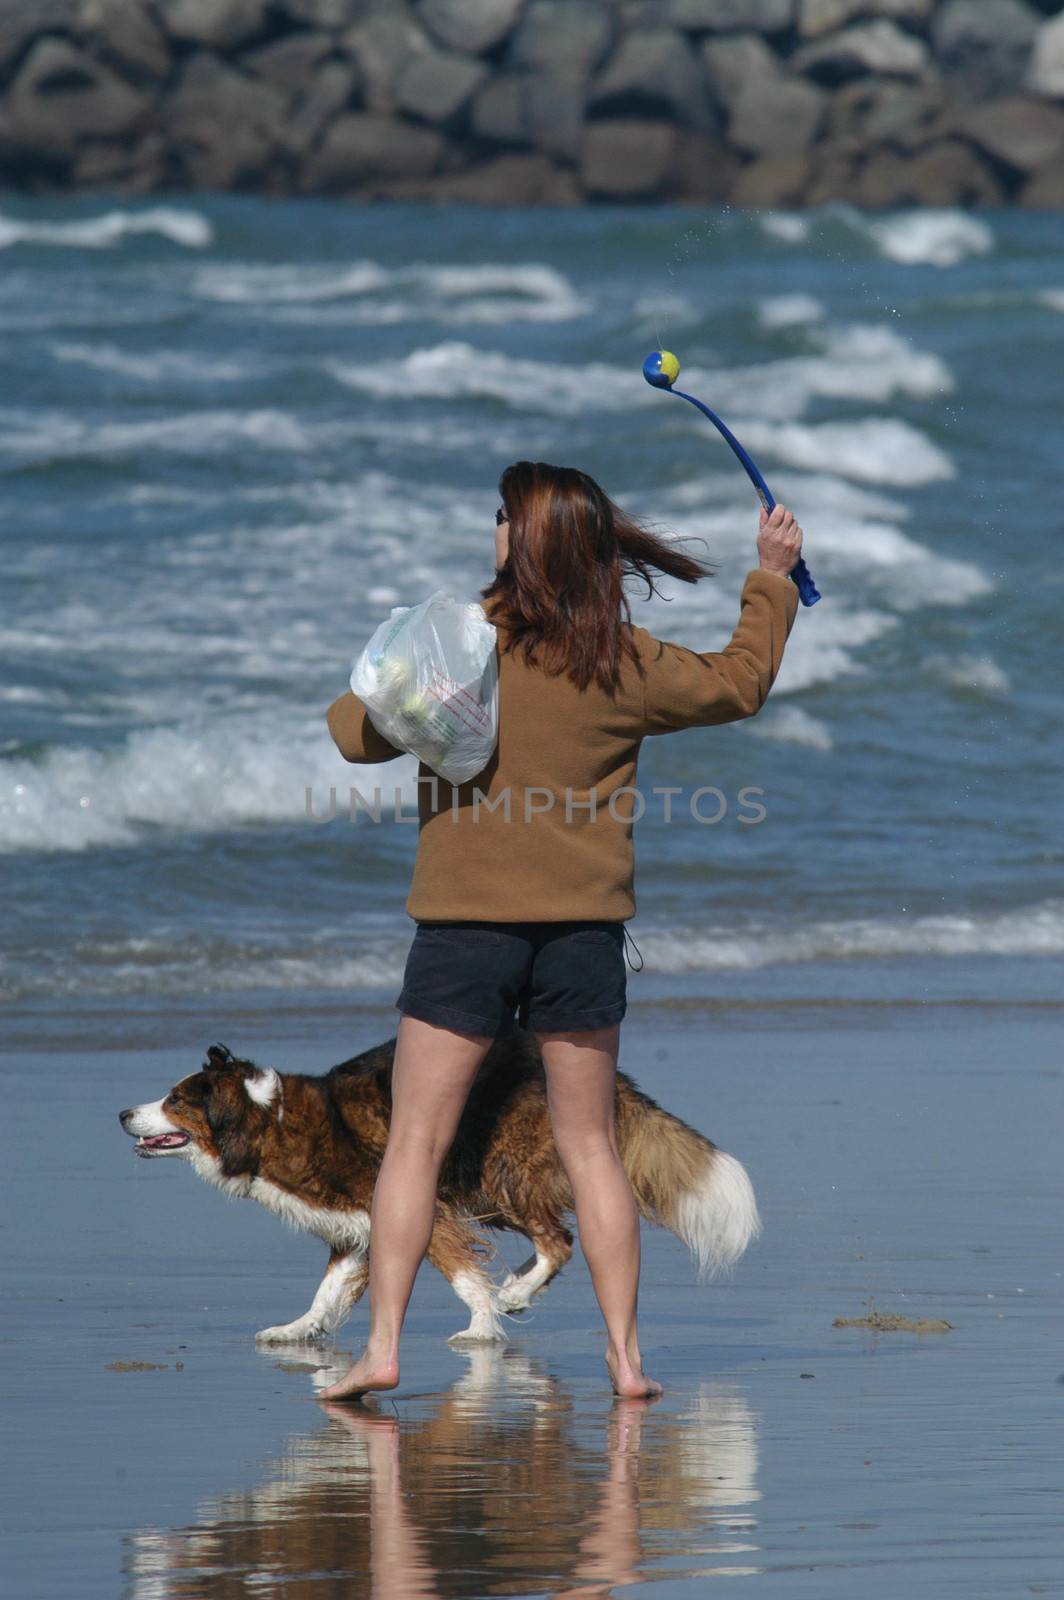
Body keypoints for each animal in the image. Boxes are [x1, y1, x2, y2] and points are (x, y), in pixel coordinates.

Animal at [120, 1030, 758, 1344]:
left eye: (175, 1100)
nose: (124, 1113)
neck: (268, 1121)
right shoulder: (360, 1227)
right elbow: (327, 1291)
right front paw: (299, 1329)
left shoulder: (423, 1205)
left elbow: (460, 1273)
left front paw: (480, 1327)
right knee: (558, 1241)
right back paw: (517, 1289)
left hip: (501, 1170)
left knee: (558, 1240)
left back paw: (512, 1295)